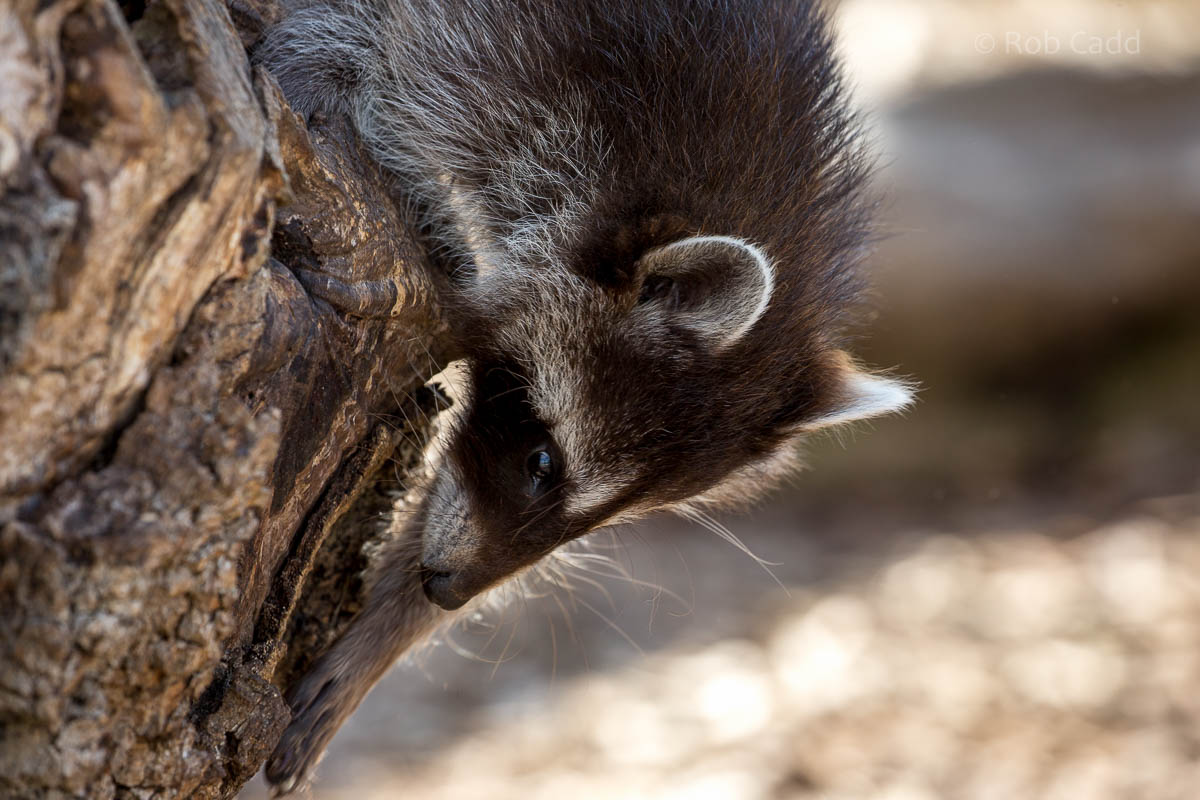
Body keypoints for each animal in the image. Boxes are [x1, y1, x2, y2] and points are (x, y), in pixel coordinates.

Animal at [257, 0, 912, 792]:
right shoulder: (510, 53)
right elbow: (352, 52)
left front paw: (379, 637)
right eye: (543, 463)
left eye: (608, 520)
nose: (446, 593)